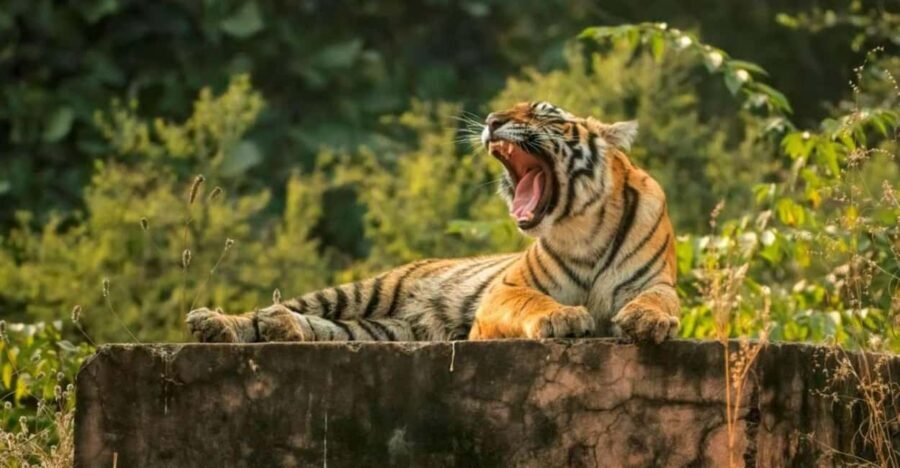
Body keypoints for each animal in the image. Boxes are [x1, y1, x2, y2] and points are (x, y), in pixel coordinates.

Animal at [186, 101, 680, 344]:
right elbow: (533, 302)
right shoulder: (506, 290)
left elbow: (659, 302)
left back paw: (282, 328)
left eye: (544, 113)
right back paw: (215, 322)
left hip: (383, 328)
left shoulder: (653, 282)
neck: (583, 229)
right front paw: (563, 318)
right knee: (276, 309)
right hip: (364, 291)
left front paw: (648, 322)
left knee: (321, 328)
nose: (491, 120)